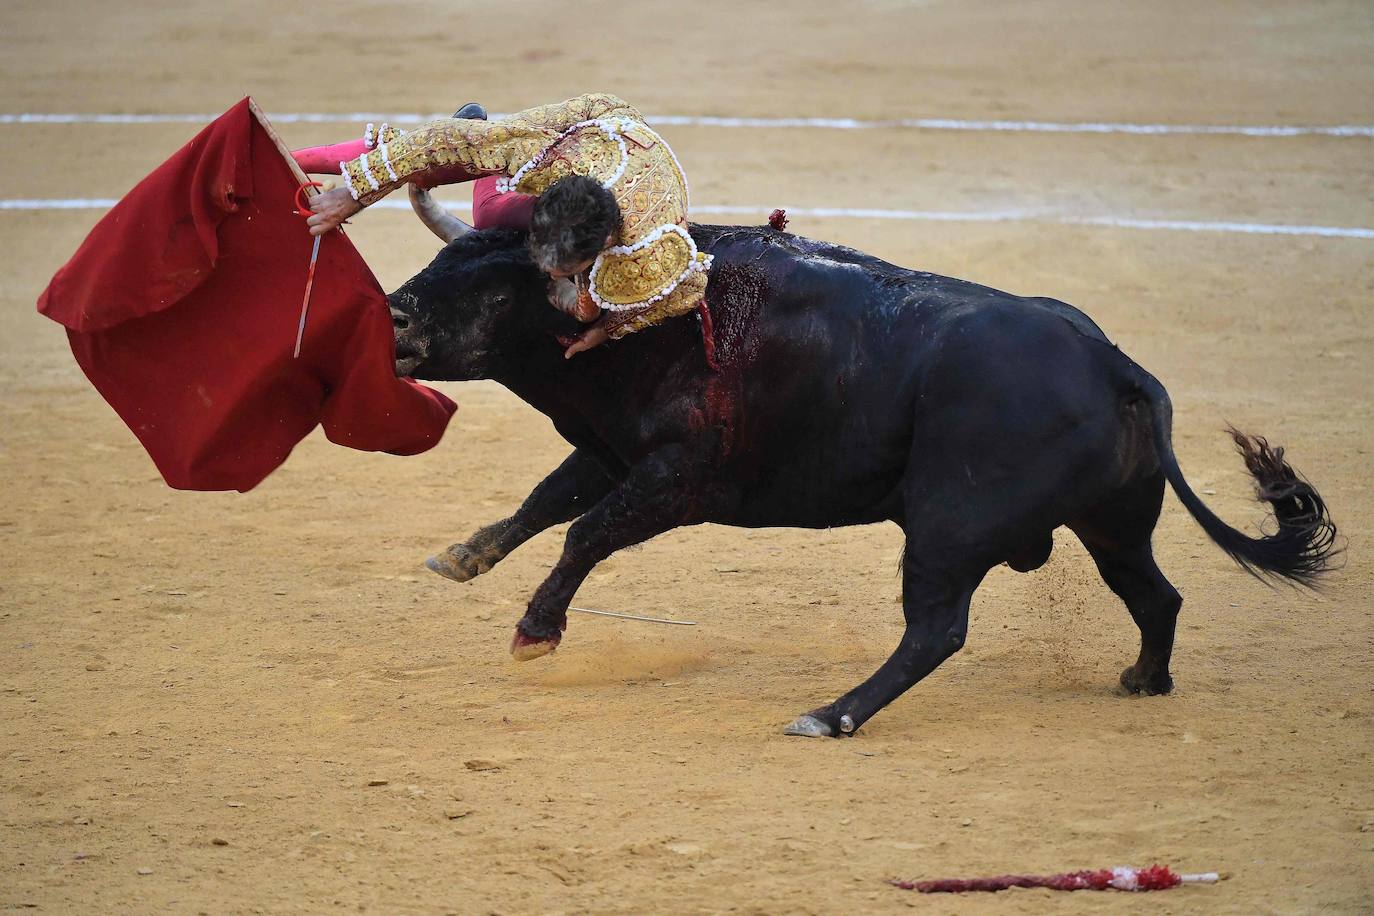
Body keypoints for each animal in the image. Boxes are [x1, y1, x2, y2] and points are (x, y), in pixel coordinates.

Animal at [387, 186, 1330, 736]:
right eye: (441, 258)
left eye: (495, 289)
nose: (391, 319)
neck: (657, 319)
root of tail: (1116, 364)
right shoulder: (615, 451)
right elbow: (547, 500)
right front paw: (463, 556)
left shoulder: (679, 478)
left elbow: (584, 531)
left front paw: (535, 632)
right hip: (1111, 525)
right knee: (1154, 593)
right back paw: (1141, 679)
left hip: (949, 527)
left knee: (936, 629)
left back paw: (831, 715)